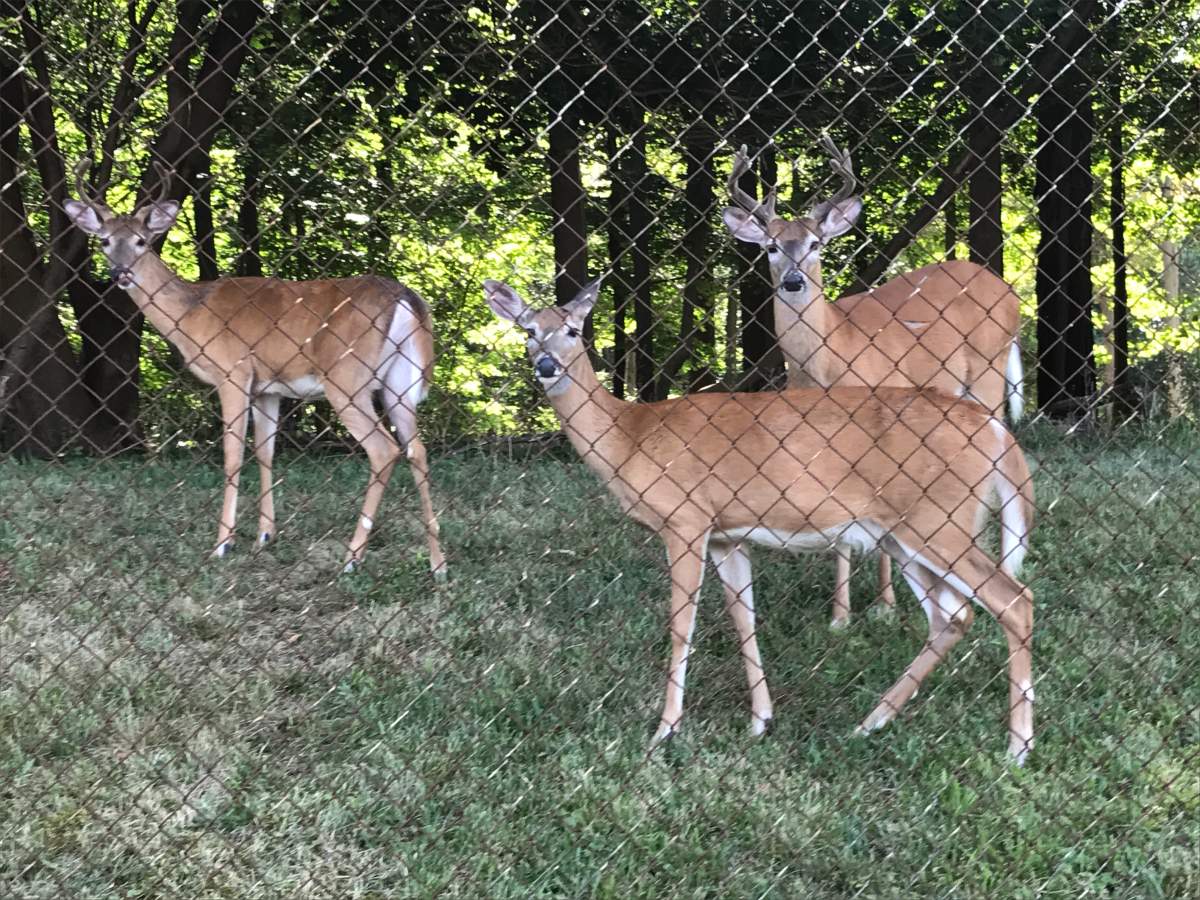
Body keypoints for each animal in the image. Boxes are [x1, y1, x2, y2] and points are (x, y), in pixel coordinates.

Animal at [65, 160, 446, 578]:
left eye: (141, 241)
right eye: (104, 241)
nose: (120, 274)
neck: (192, 312)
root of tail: (407, 298)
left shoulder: (233, 372)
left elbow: (233, 455)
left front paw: (222, 544)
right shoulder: (269, 388)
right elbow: (265, 452)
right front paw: (265, 536)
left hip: (346, 379)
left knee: (384, 450)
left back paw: (352, 557)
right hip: (398, 384)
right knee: (417, 450)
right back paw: (437, 563)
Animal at [485, 277, 1036, 763]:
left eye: (572, 330)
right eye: (528, 330)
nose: (547, 365)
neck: (630, 437)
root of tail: (994, 431)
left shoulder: (685, 520)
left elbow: (680, 625)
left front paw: (665, 730)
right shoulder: (728, 535)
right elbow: (744, 619)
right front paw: (760, 720)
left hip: (939, 519)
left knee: (1014, 600)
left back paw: (1017, 747)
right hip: (905, 533)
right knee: (954, 616)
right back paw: (870, 722)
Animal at [724, 137, 1024, 628]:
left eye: (815, 243)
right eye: (770, 246)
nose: (793, 282)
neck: (828, 360)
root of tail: (1006, 287)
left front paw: (883, 606)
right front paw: (840, 615)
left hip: (988, 366)